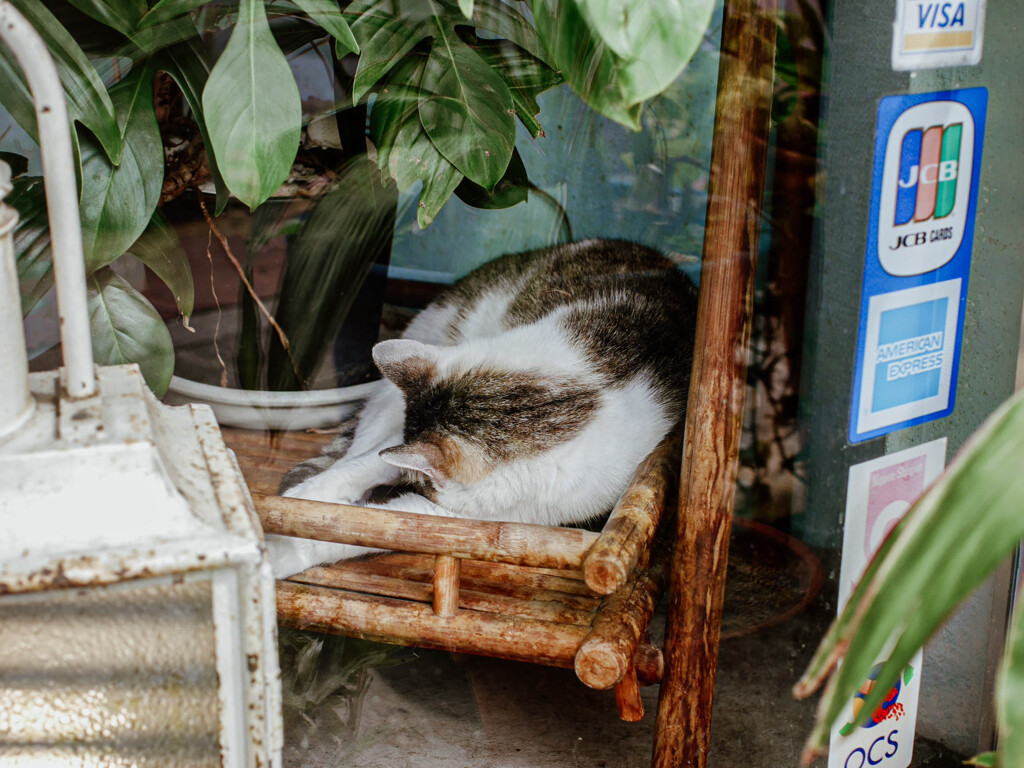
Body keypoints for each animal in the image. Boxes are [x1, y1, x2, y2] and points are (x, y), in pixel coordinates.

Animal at [266, 240, 696, 577]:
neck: (589, 391)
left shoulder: (468, 518)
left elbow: (359, 529)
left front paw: (284, 550)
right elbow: (358, 467)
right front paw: (303, 503)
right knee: (353, 449)